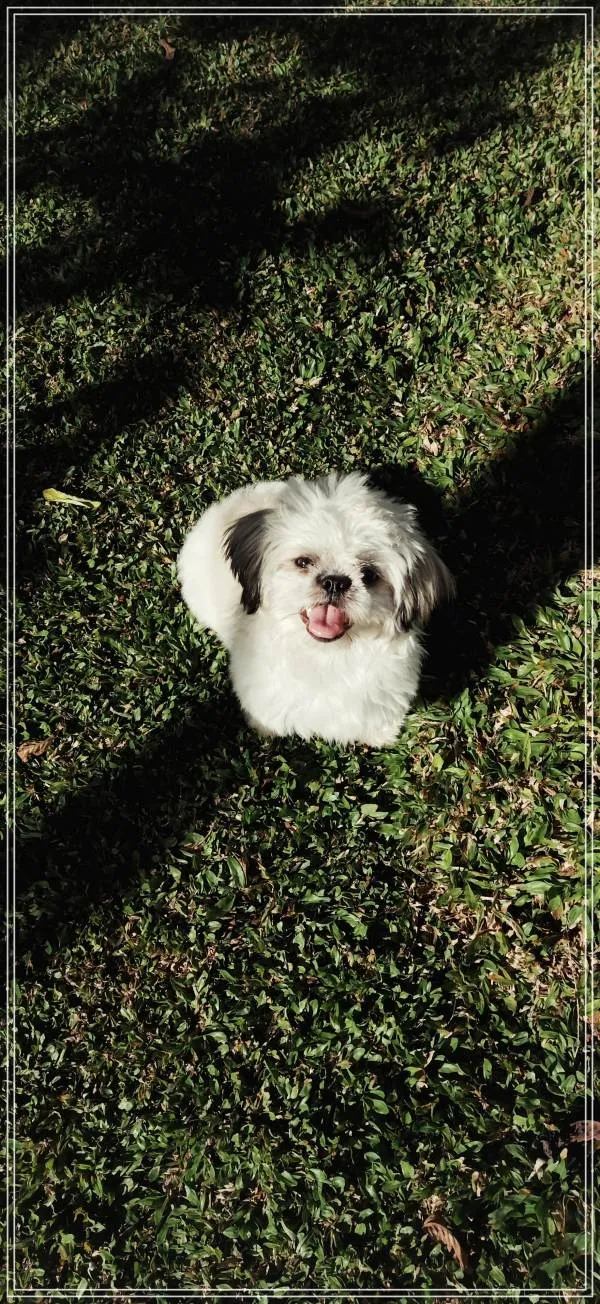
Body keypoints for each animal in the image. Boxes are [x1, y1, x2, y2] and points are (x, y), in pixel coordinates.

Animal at [177, 471, 453, 746]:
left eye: (369, 574)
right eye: (303, 562)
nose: (335, 582)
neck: (325, 656)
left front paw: (381, 735)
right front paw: (265, 729)